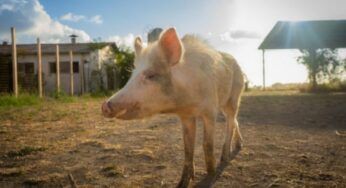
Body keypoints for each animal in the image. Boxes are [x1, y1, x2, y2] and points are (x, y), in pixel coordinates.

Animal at [101, 27, 245, 188]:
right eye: (132, 75)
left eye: (151, 75)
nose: (104, 105)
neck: (187, 102)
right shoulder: (186, 117)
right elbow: (187, 148)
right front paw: (181, 184)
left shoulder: (210, 111)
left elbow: (207, 145)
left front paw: (210, 177)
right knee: (234, 121)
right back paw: (238, 146)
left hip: (234, 97)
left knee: (231, 122)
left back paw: (226, 157)